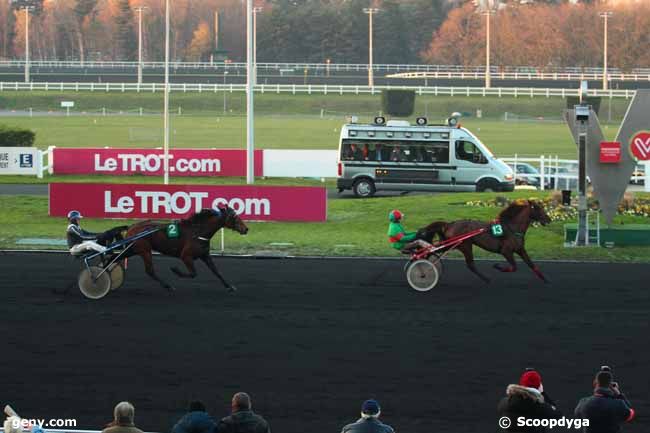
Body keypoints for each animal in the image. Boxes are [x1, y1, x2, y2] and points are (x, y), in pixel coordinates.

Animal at [418, 199, 548, 284]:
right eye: (538, 208)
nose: (549, 219)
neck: (512, 227)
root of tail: (450, 224)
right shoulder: (506, 251)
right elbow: (514, 267)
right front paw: (497, 266)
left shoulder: (520, 249)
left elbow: (531, 264)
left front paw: (546, 279)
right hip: (464, 245)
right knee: (470, 264)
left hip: (453, 243)